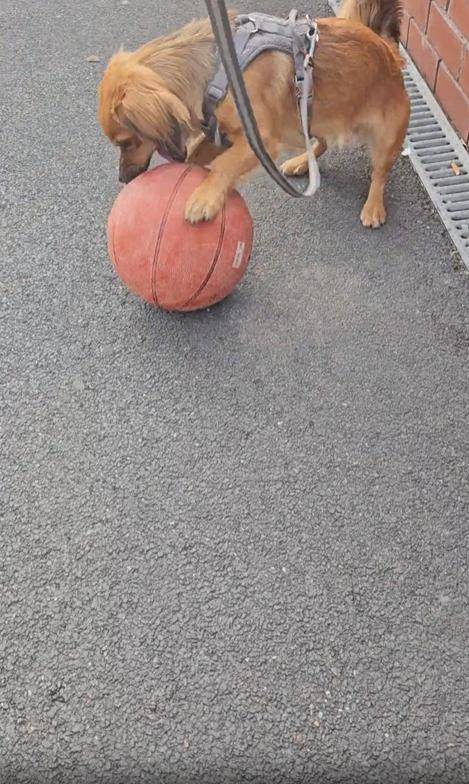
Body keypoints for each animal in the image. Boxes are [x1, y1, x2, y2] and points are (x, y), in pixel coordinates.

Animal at [98, 0, 410, 229]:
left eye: (126, 142)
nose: (124, 180)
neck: (219, 70)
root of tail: (389, 52)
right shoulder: (220, 134)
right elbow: (197, 156)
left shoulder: (260, 141)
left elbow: (225, 165)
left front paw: (205, 197)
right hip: (311, 115)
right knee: (320, 144)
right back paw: (301, 163)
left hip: (385, 139)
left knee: (379, 174)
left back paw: (373, 207)